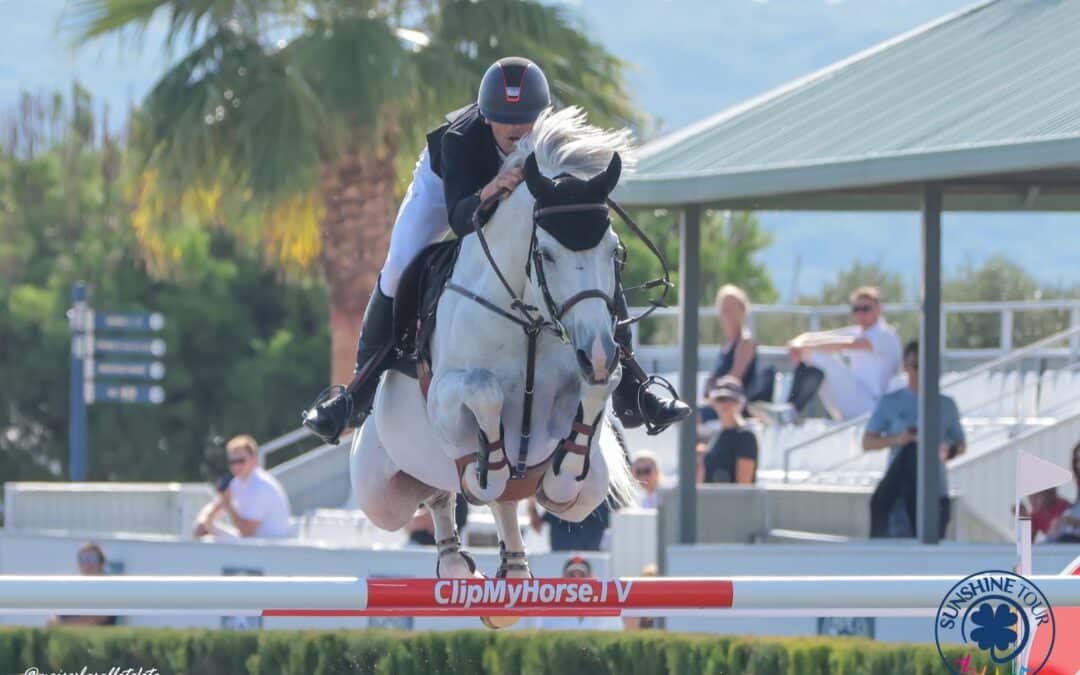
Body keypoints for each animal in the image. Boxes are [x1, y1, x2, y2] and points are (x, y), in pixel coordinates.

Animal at [349, 109, 635, 622]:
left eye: (615, 252)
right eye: (546, 254)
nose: (598, 351)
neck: (528, 320)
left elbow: (590, 406)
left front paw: (561, 466)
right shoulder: (445, 395)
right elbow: (484, 393)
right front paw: (488, 463)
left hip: (592, 487)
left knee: (500, 504)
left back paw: (513, 573)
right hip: (378, 493)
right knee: (439, 495)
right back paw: (458, 563)